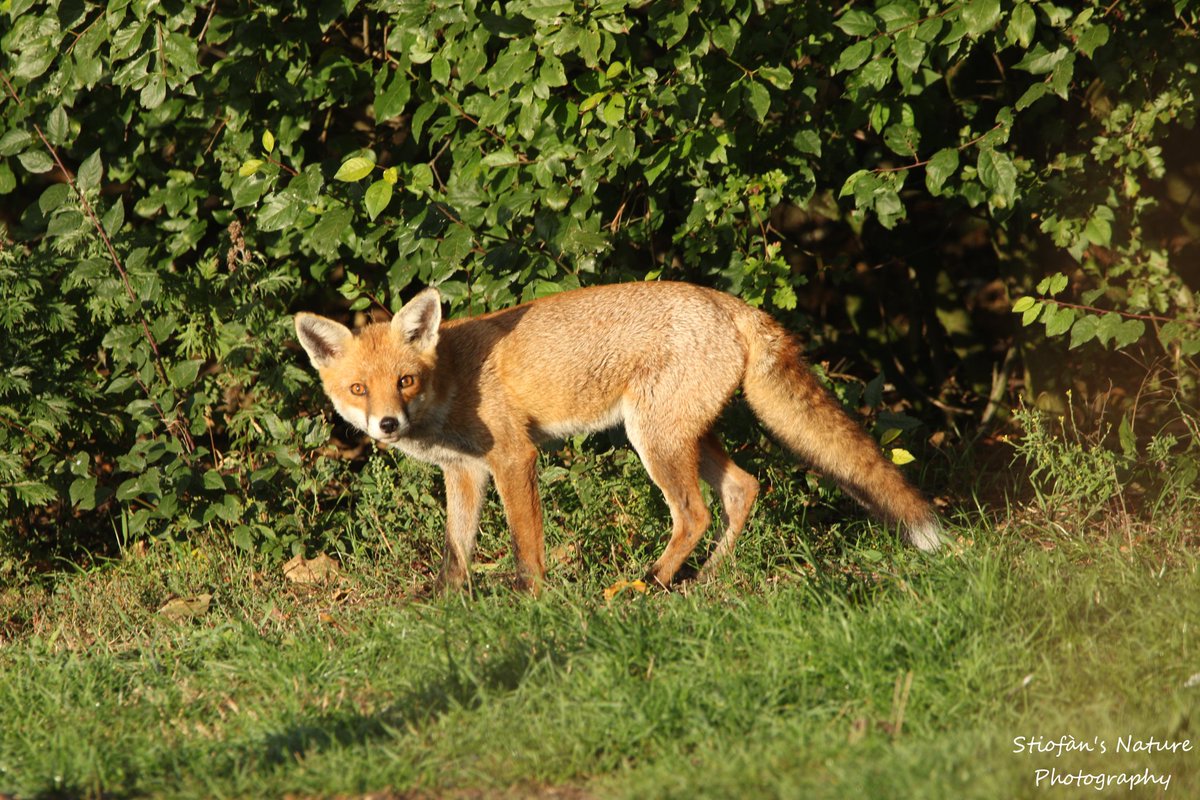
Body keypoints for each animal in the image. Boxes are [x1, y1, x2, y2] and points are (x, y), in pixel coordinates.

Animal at [295, 278, 940, 592]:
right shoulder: (465, 473)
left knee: (694, 514)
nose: (386, 424)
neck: (451, 380)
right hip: (684, 436)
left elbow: (526, 546)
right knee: (744, 489)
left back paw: (649, 583)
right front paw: (448, 604)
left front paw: (532, 600)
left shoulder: (513, 457)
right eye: (359, 389)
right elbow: (457, 550)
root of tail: (733, 304)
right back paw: (702, 581)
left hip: (654, 439)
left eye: (405, 381)